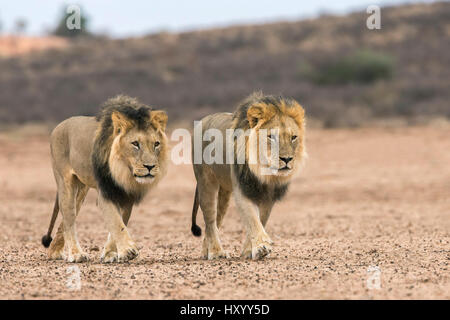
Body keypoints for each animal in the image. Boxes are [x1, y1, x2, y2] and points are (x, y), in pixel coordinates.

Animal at [40, 94, 169, 262]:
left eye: (156, 144)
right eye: (135, 143)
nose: (150, 166)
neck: (123, 172)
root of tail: (58, 126)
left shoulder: (126, 196)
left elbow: (121, 222)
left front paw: (109, 254)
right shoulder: (106, 192)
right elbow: (116, 222)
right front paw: (128, 250)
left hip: (81, 190)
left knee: (64, 221)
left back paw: (54, 251)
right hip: (65, 182)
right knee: (68, 218)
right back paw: (76, 254)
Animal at [190, 92, 306, 260]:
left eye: (293, 137)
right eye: (271, 137)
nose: (287, 159)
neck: (264, 172)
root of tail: (203, 120)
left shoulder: (268, 196)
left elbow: (261, 220)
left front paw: (249, 250)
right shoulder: (243, 189)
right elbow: (252, 219)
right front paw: (261, 247)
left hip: (225, 192)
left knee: (216, 221)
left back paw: (207, 251)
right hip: (206, 183)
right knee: (210, 219)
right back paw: (217, 252)